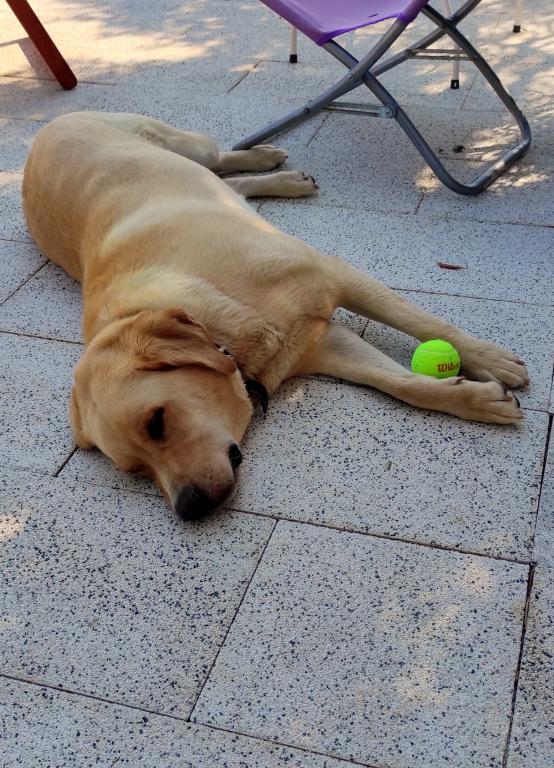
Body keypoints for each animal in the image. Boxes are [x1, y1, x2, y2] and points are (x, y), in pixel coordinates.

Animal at [23, 112, 529, 519]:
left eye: (157, 422)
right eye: (137, 471)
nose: (190, 508)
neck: (222, 328)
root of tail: (44, 130)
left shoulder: (333, 275)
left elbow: (429, 325)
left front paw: (489, 362)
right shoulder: (323, 345)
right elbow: (403, 384)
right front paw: (473, 398)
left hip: (183, 145)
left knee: (219, 160)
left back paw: (266, 159)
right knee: (227, 182)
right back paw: (280, 177)